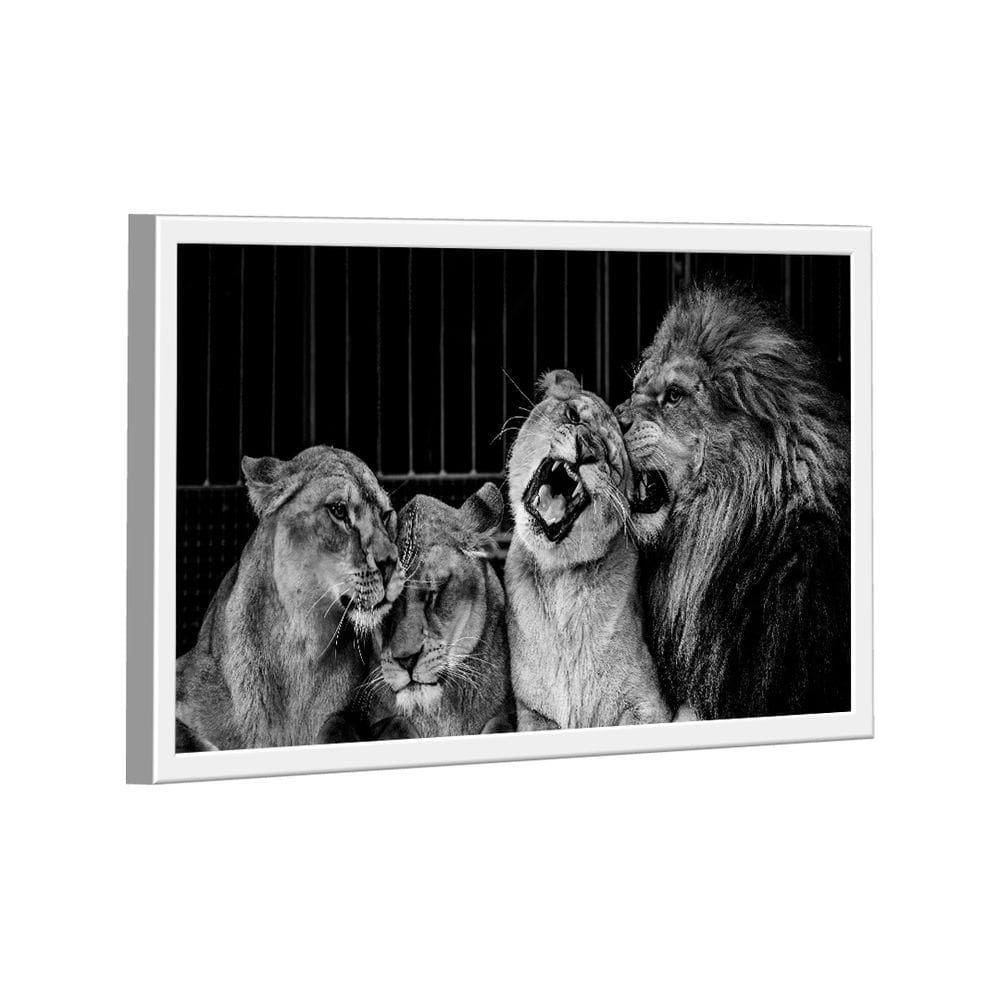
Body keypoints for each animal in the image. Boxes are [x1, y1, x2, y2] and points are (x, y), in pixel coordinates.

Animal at [505, 370, 671, 731]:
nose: (587, 449)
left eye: (611, 461)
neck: (561, 577)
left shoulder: (648, 704)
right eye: (572, 416)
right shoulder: (532, 711)